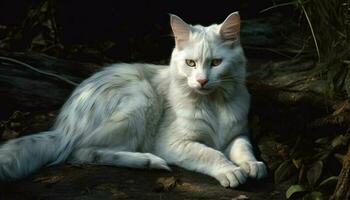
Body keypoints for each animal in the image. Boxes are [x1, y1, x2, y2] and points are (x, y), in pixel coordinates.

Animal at [0, 12, 266, 188]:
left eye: (216, 63)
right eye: (191, 63)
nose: (201, 81)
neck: (214, 103)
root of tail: (63, 126)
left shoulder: (237, 133)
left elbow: (244, 148)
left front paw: (252, 165)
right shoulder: (173, 143)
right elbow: (210, 153)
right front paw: (230, 171)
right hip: (140, 99)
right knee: (81, 153)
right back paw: (149, 161)